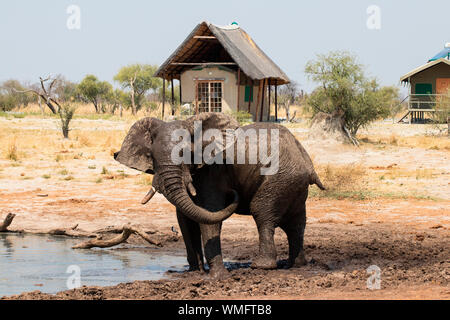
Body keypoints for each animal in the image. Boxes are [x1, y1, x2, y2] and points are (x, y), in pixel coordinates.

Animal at [112, 114, 324, 278]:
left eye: (185, 154)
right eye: (152, 157)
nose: (233, 192)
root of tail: (307, 161)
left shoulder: (214, 170)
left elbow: (209, 214)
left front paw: (217, 277)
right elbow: (185, 220)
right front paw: (193, 272)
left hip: (280, 178)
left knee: (262, 213)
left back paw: (261, 266)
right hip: (293, 183)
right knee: (296, 224)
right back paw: (296, 265)